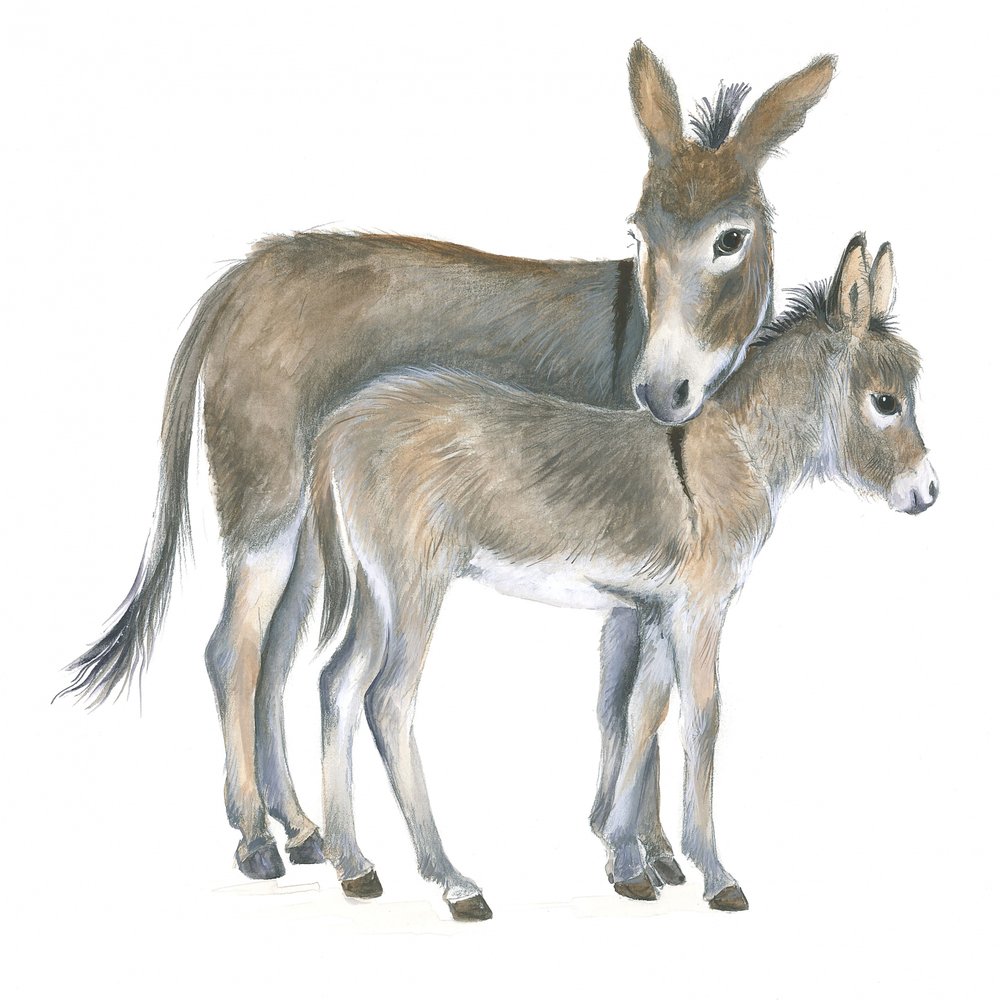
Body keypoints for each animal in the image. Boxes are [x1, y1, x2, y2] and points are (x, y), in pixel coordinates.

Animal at [58, 42, 836, 885]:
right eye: (638, 237)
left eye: (730, 239)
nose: (660, 393)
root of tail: (244, 274)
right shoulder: (639, 562)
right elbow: (631, 702)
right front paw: (643, 855)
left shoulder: (637, 578)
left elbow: (626, 702)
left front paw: (642, 849)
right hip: (268, 503)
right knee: (234, 650)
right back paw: (258, 839)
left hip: (320, 533)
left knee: (278, 652)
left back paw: (302, 829)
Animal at [307, 233, 937, 918]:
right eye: (885, 401)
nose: (928, 492)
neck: (736, 456)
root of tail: (342, 419)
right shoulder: (699, 608)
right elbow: (702, 716)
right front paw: (714, 873)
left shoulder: (654, 609)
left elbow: (639, 712)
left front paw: (626, 858)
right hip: (416, 584)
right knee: (389, 701)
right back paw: (454, 881)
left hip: (377, 588)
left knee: (338, 683)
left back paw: (354, 866)